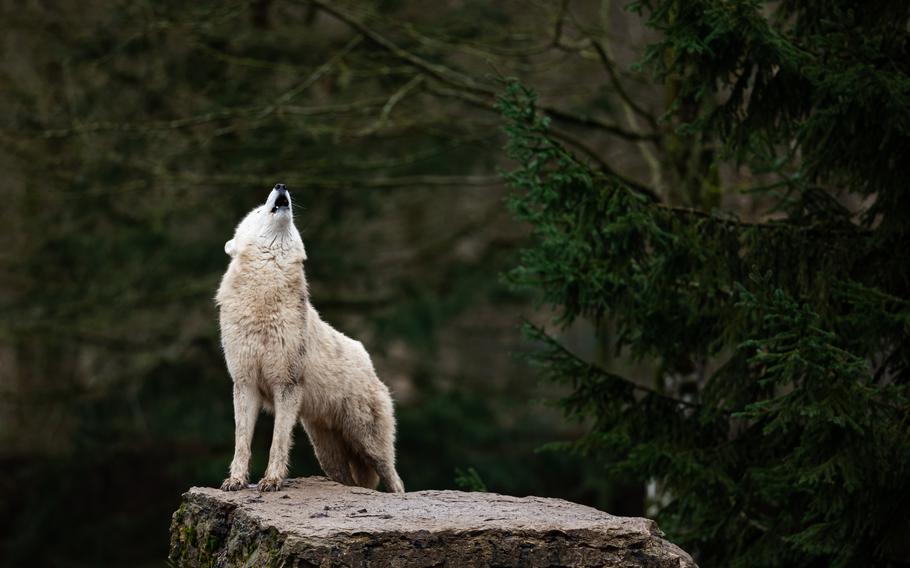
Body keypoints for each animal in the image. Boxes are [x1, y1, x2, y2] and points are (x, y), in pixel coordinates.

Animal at [216, 183, 404, 492]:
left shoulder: (286, 385)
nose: (281, 185)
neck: (264, 297)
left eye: (293, 224)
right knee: (350, 481)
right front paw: (237, 480)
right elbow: (241, 442)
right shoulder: (245, 384)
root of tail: (368, 361)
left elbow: (278, 442)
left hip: (369, 444)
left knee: (395, 481)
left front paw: (272, 480)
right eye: (257, 211)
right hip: (329, 454)